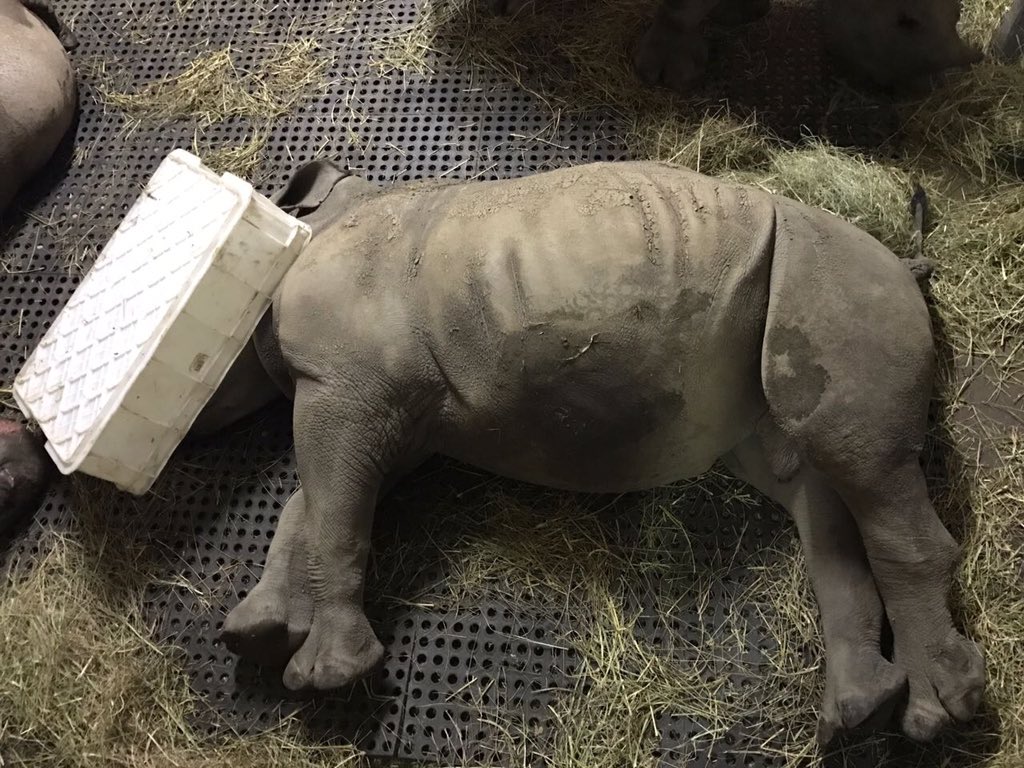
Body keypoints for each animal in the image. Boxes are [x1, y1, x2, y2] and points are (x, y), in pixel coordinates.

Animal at [0, 160, 983, 746]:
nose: (39, 439)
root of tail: (908, 264)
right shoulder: (391, 414)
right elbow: (312, 507)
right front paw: (257, 629)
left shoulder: (349, 388)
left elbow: (331, 510)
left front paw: (325, 673)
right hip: (796, 306)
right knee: (821, 491)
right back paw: (857, 712)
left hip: (835, 280)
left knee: (862, 468)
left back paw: (940, 712)